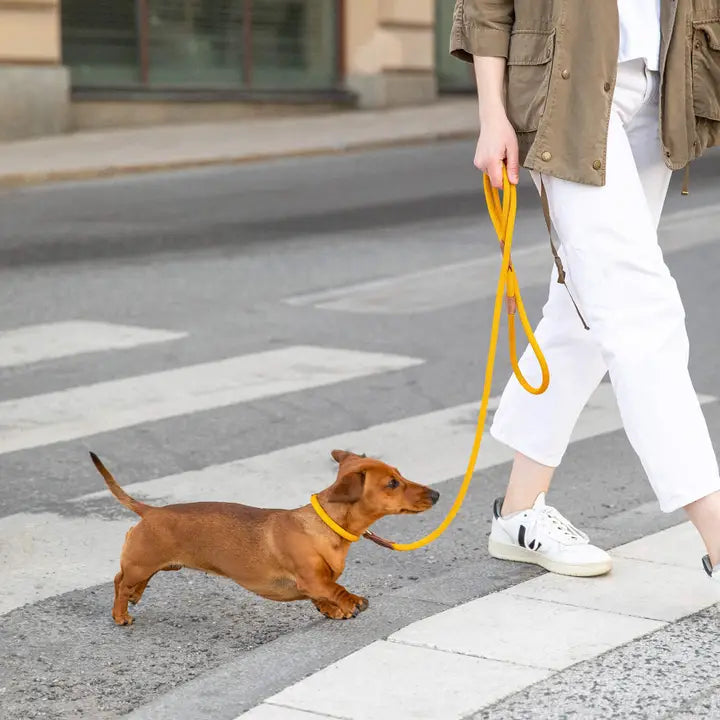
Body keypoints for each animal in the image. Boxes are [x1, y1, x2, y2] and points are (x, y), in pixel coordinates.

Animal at [90, 450, 438, 624]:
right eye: (392, 483)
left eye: (400, 474)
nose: (436, 494)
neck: (324, 526)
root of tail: (149, 511)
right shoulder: (313, 578)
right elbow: (335, 589)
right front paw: (350, 602)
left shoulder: (313, 584)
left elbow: (323, 597)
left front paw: (332, 610)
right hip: (141, 562)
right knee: (120, 582)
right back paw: (120, 615)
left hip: (153, 564)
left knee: (129, 582)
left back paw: (134, 597)